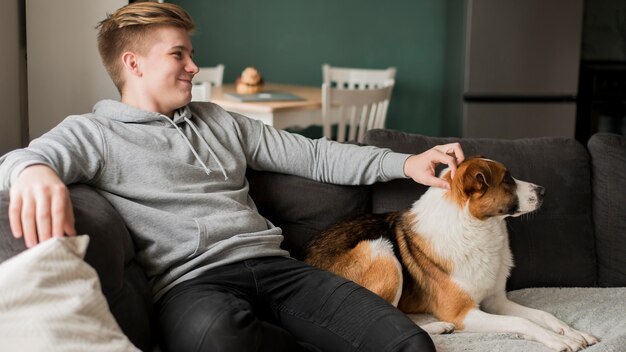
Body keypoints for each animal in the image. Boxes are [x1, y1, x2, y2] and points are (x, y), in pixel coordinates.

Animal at [304, 157, 596, 352]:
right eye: (507, 179)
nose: (544, 191)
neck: (477, 228)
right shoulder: (464, 314)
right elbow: (521, 322)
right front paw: (558, 340)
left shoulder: (496, 301)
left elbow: (543, 315)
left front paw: (572, 332)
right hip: (381, 251)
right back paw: (437, 327)